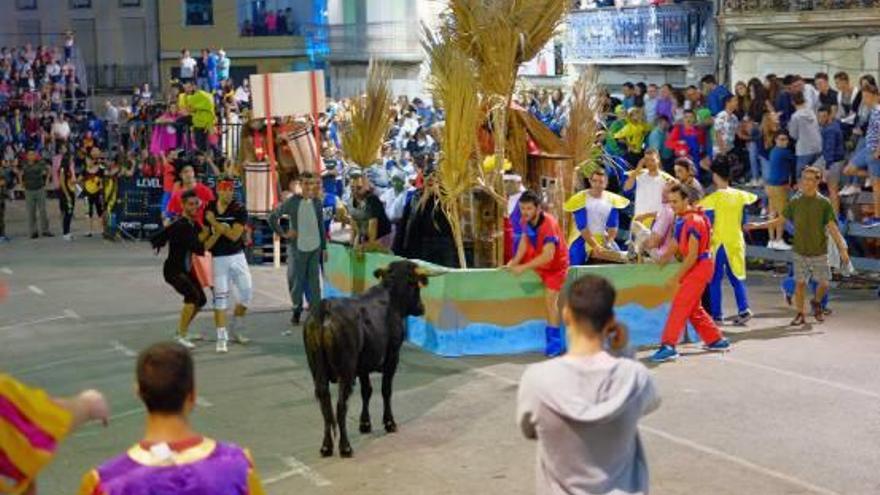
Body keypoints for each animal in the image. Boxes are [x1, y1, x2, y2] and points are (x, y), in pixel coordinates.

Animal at [304, 262, 438, 460]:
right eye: (416, 286)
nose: (422, 308)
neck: (391, 297)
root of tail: (325, 307)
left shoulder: (363, 365)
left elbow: (366, 391)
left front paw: (365, 424)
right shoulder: (392, 356)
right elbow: (385, 390)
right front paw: (389, 423)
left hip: (317, 369)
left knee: (325, 403)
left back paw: (326, 447)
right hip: (346, 369)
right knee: (341, 405)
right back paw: (345, 447)